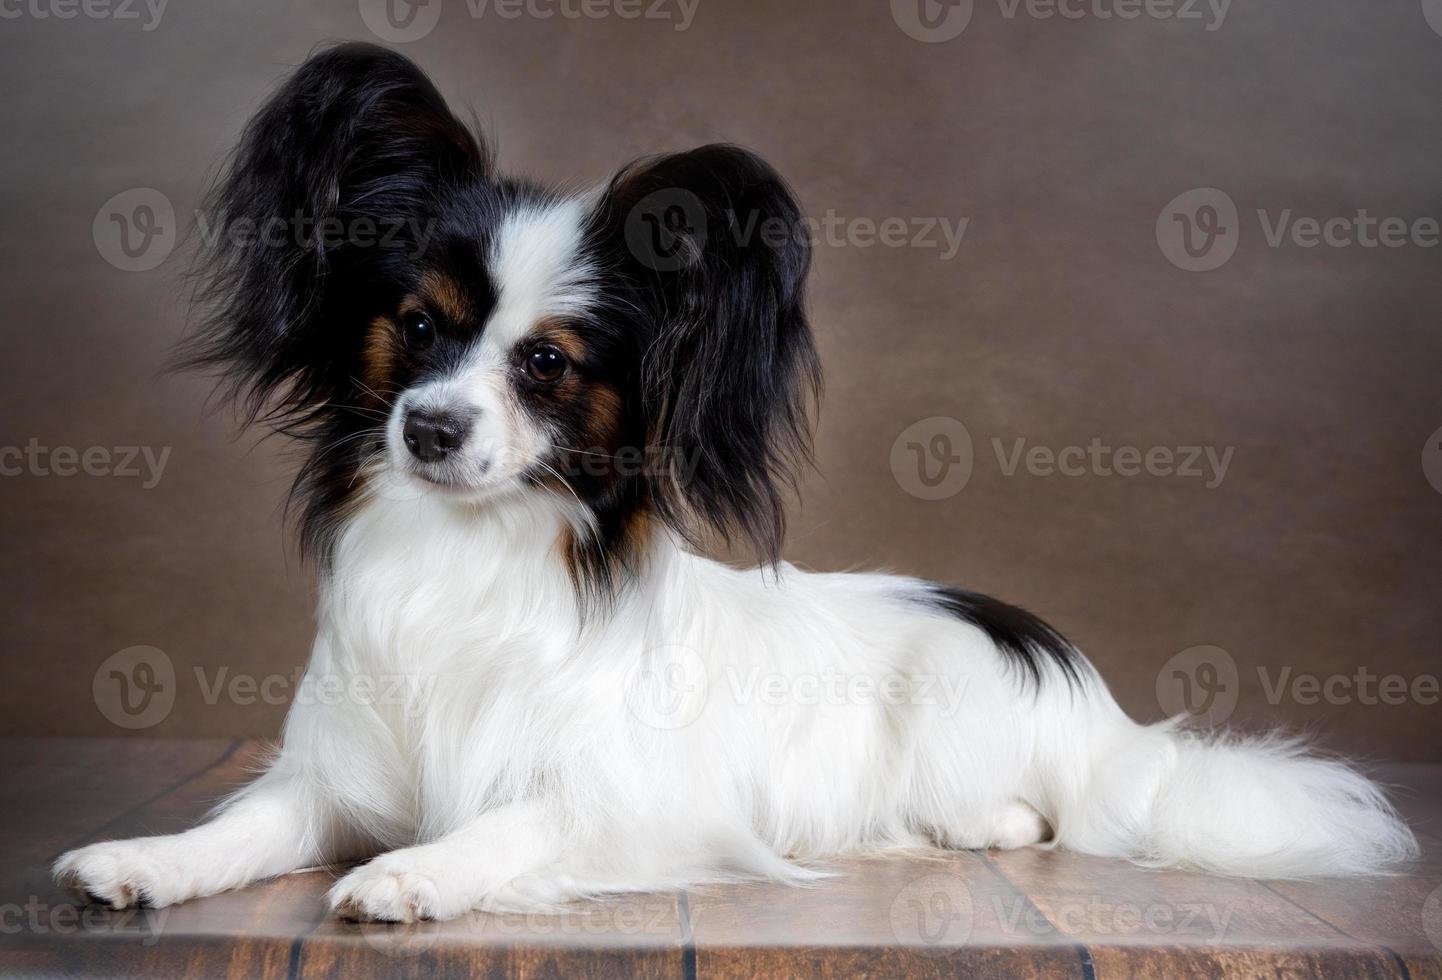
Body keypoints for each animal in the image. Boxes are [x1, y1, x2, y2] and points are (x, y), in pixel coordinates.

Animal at [56, 42, 1418, 922]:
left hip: (952, 720)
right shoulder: (332, 777)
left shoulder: (631, 806)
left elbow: (512, 820)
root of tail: (1092, 697)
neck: (469, 549)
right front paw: (146, 857)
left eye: (544, 364)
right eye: (417, 327)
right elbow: (240, 824)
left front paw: (411, 871)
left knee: (1037, 817)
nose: (431, 429)